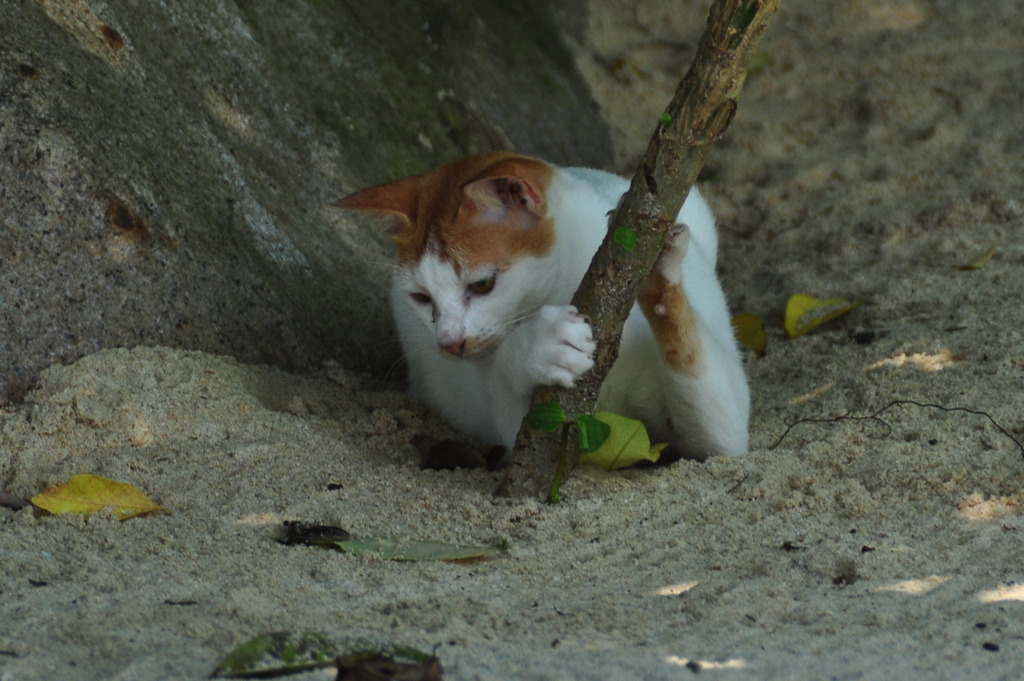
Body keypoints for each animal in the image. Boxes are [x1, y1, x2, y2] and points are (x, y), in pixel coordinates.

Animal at [339, 152, 749, 462]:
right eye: (421, 298)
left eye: (482, 285)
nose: (450, 343)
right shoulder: (528, 435)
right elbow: (514, 400)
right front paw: (540, 346)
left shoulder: (724, 432)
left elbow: (713, 410)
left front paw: (654, 263)